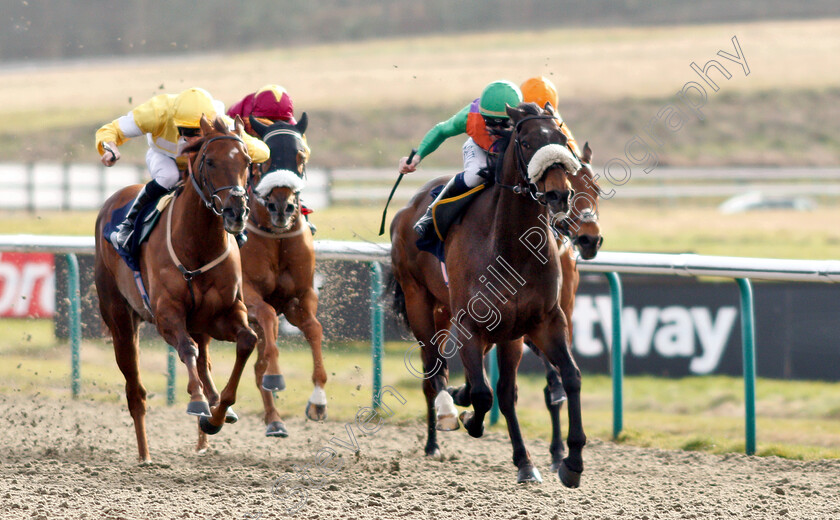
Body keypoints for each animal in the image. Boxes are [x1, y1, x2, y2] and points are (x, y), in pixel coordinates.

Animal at [94, 116, 256, 462]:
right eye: (210, 161)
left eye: (247, 161)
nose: (236, 211)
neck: (198, 244)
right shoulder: (167, 315)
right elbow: (186, 350)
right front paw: (197, 401)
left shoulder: (223, 313)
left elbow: (247, 340)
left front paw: (217, 413)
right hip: (120, 319)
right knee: (136, 390)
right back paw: (144, 454)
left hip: (200, 323)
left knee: (205, 359)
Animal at [238, 115, 326, 438]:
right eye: (264, 159)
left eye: (301, 156)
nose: (282, 207)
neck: (276, 238)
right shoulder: (248, 294)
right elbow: (267, 315)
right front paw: (276, 377)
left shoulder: (300, 296)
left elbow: (314, 329)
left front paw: (318, 401)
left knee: (256, 363)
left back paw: (274, 419)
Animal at [392, 102, 584, 488]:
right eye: (525, 142)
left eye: (561, 140)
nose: (559, 194)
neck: (512, 246)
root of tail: (406, 211)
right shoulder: (469, 324)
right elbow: (483, 394)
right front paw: (469, 418)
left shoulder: (543, 321)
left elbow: (568, 378)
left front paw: (570, 461)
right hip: (420, 303)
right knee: (433, 369)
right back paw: (443, 421)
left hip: (493, 329)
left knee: (501, 391)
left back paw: (521, 458)